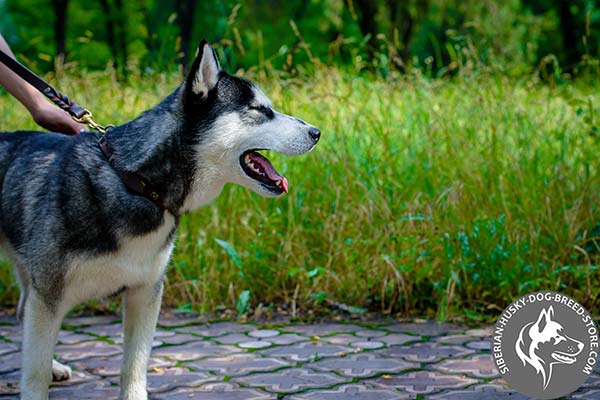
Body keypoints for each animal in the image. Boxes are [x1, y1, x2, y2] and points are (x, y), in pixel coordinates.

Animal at [0, 41, 318, 400]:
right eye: (259, 109)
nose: (317, 132)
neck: (137, 183)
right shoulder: (49, 294)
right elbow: (35, 370)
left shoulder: (146, 291)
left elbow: (135, 365)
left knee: (22, 310)